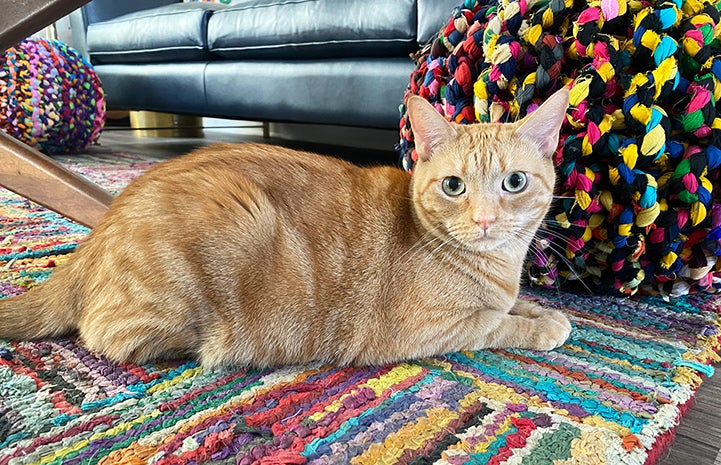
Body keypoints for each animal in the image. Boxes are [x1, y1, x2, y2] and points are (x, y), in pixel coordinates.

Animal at [1, 89, 572, 368]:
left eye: (514, 182)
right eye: (454, 186)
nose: (485, 220)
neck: (496, 265)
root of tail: (100, 231)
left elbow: (516, 304)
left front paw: (542, 308)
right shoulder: (426, 331)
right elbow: (496, 324)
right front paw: (545, 327)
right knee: (105, 334)